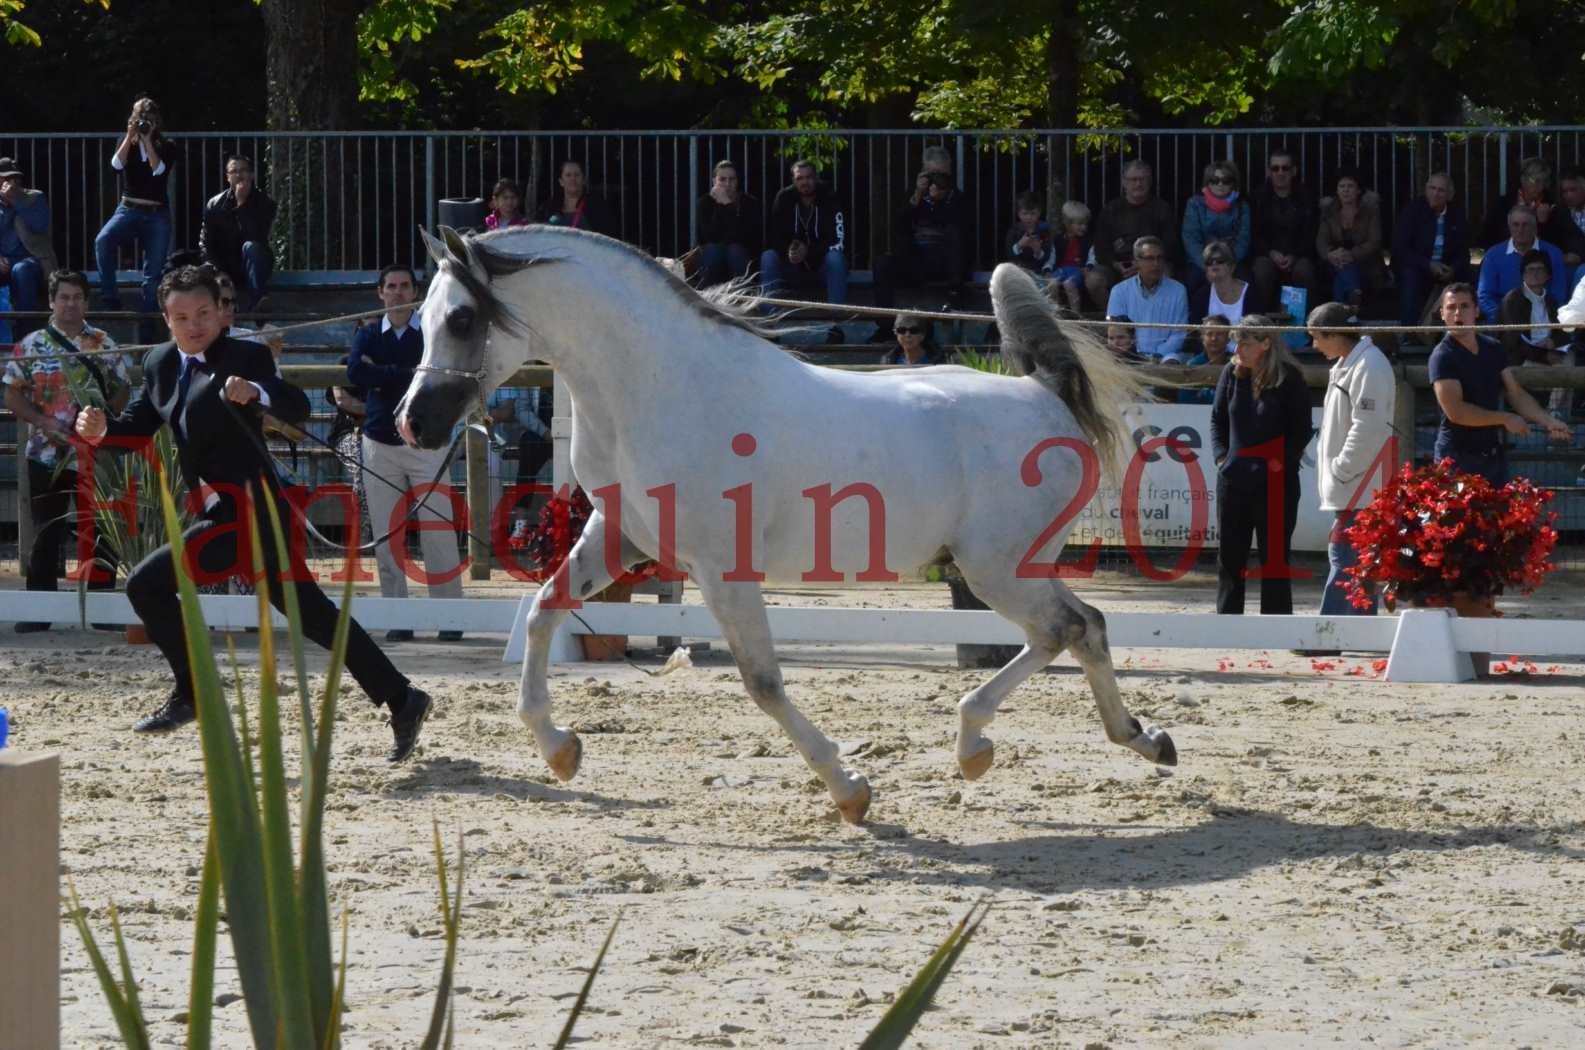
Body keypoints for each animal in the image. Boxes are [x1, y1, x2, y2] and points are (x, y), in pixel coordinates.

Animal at [396, 226, 1179, 824]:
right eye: (422, 320)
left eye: (461, 319)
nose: (413, 422)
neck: (659, 388)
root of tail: (1044, 394)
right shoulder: (620, 538)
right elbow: (541, 611)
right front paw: (560, 750)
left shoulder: (720, 568)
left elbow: (763, 682)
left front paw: (850, 790)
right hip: (1013, 563)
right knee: (1085, 627)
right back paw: (1135, 740)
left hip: (996, 567)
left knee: (1065, 628)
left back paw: (980, 745)